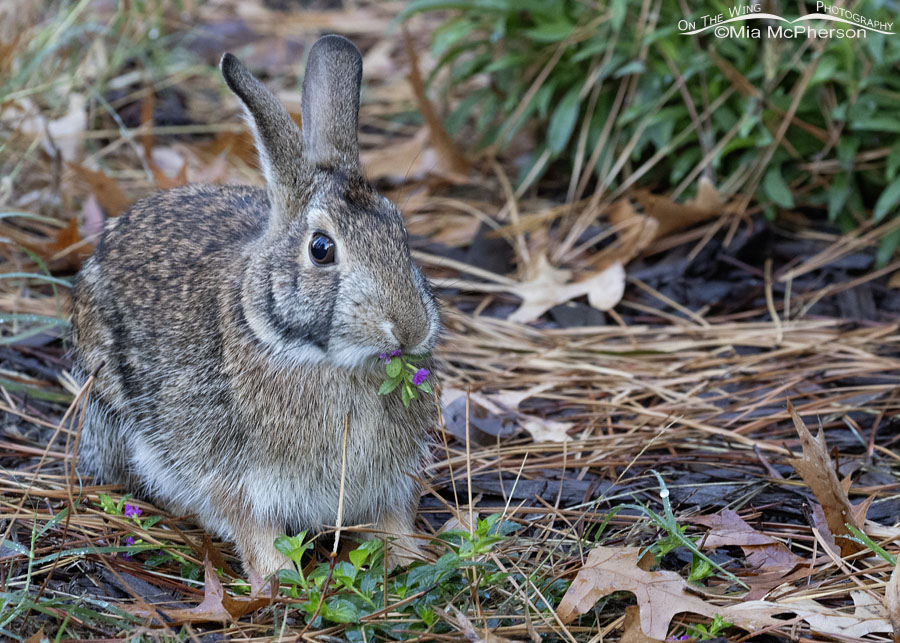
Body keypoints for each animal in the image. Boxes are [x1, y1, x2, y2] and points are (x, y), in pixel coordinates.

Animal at [68, 35, 442, 580]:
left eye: (402, 233)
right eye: (321, 249)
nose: (410, 328)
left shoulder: (388, 482)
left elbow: (392, 521)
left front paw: (410, 560)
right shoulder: (235, 478)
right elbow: (253, 530)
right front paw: (279, 579)